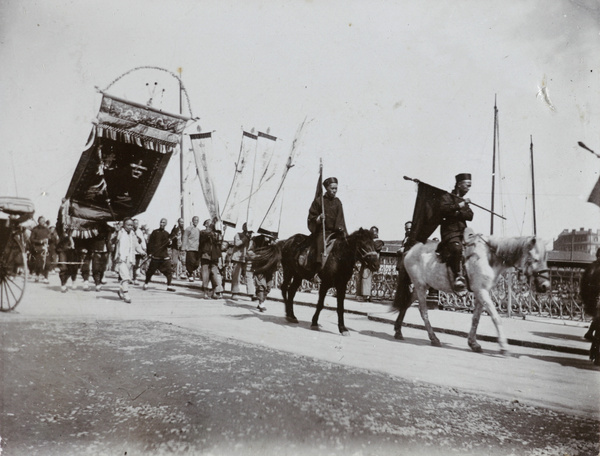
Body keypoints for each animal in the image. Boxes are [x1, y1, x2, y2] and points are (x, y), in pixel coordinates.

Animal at [396, 232, 552, 352]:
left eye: (546, 258)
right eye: (535, 259)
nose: (546, 286)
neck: (489, 257)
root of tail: (410, 251)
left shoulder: (481, 292)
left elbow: (476, 318)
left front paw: (473, 343)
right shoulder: (481, 291)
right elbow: (496, 317)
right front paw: (503, 346)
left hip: (422, 286)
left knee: (406, 303)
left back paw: (398, 330)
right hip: (420, 286)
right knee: (423, 312)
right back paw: (433, 338)